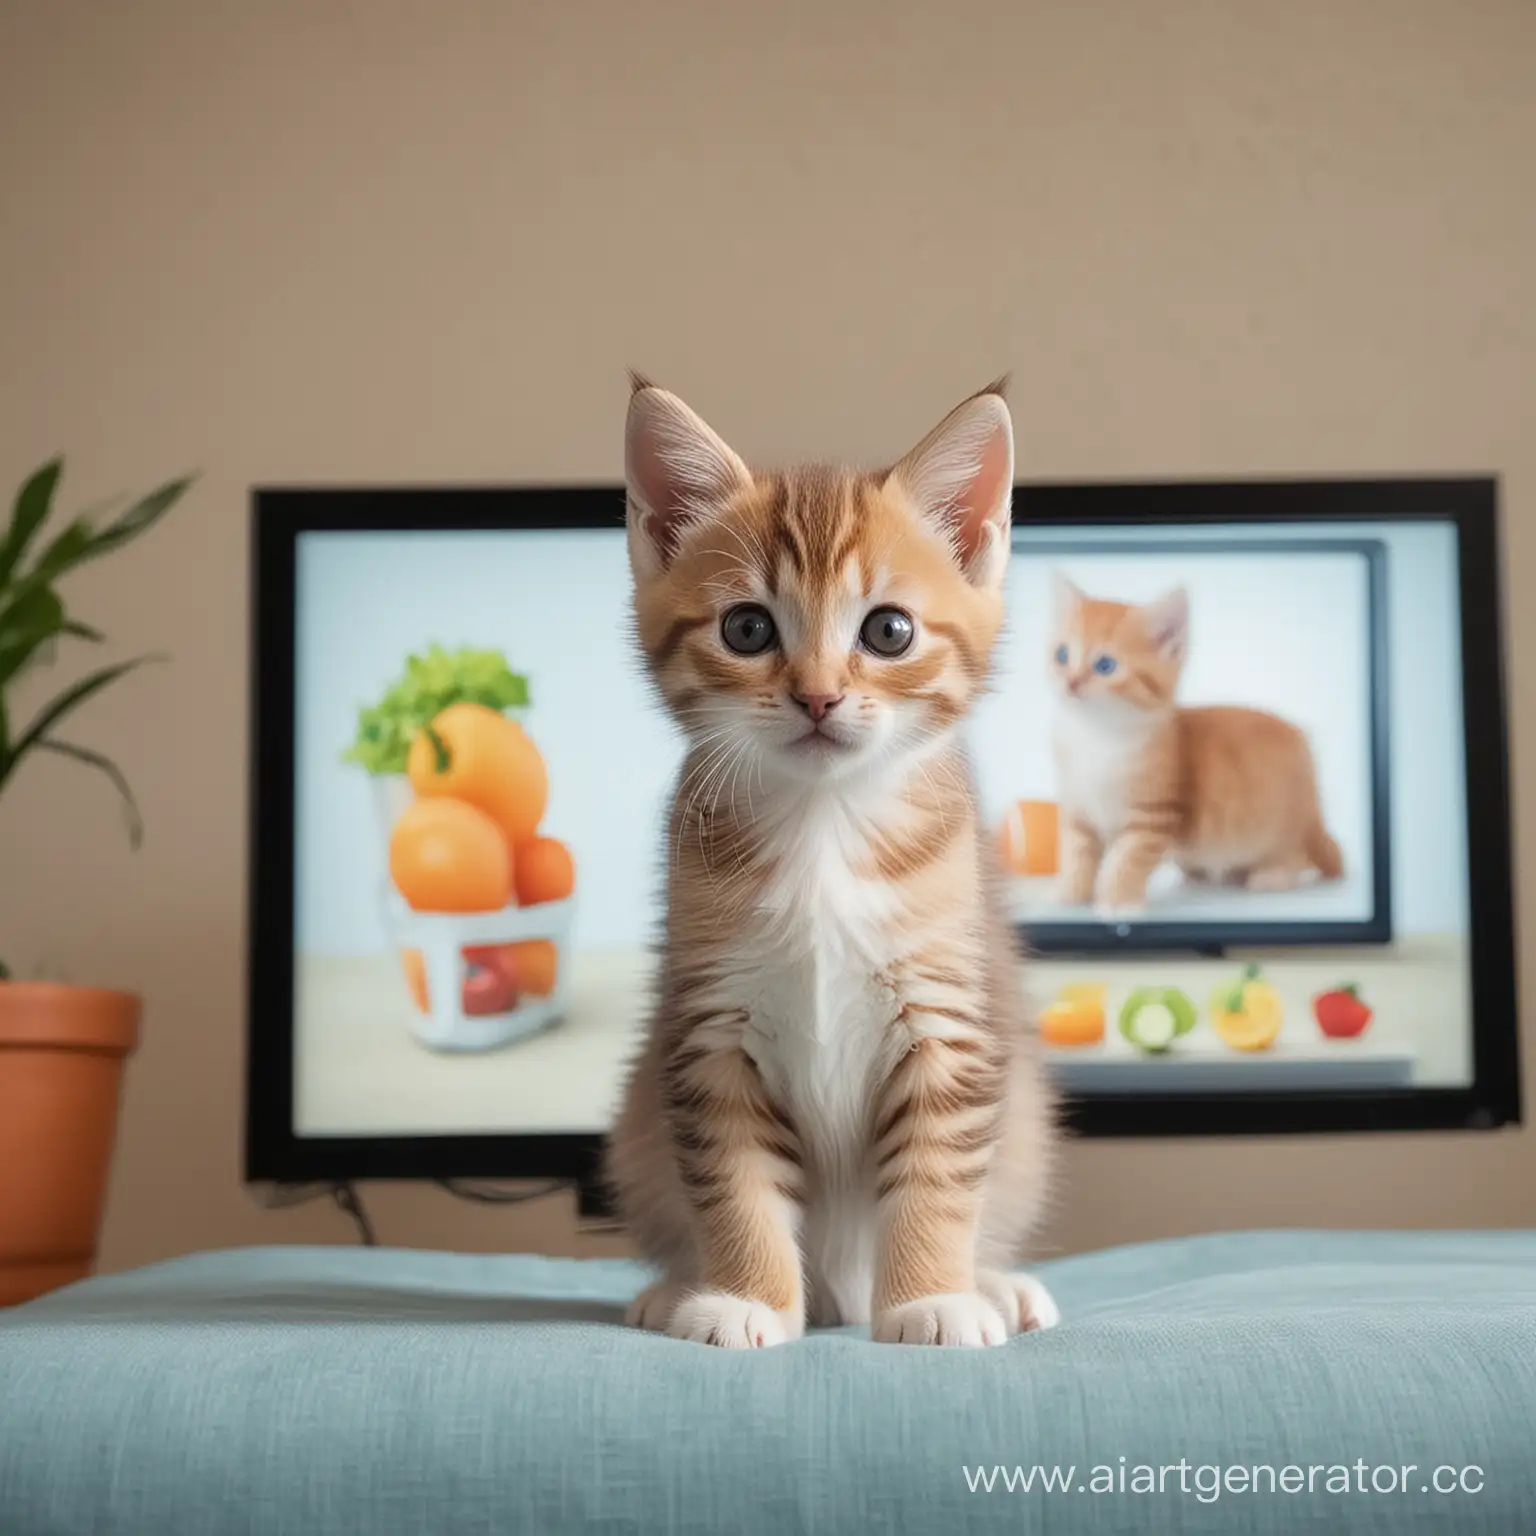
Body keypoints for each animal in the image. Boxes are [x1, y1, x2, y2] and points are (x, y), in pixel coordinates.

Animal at [599, 377, 1056, 1351]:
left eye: (888, 631)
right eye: (746, 628)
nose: (817, 696)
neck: (823, 826)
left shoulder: (949, 1024)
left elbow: (936, 1179)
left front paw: (929, 1298)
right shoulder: (710, 1033)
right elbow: (735, 1185)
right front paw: (746, 1300)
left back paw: (994, 1285)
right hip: (639, 1120)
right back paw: (677, 1285)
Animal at [1050, 574, 1339, 909]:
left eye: (1105, 665)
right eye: (1062, 655)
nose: (1070, 683)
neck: (1096, 735)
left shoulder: (1154, 817)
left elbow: (1127, 861)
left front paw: (1118, 903)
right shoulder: (1078, 810)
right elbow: (1076, 855)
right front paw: (1069, 896)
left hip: (1278, 826)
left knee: (1298, 856)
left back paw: (1273, 876)